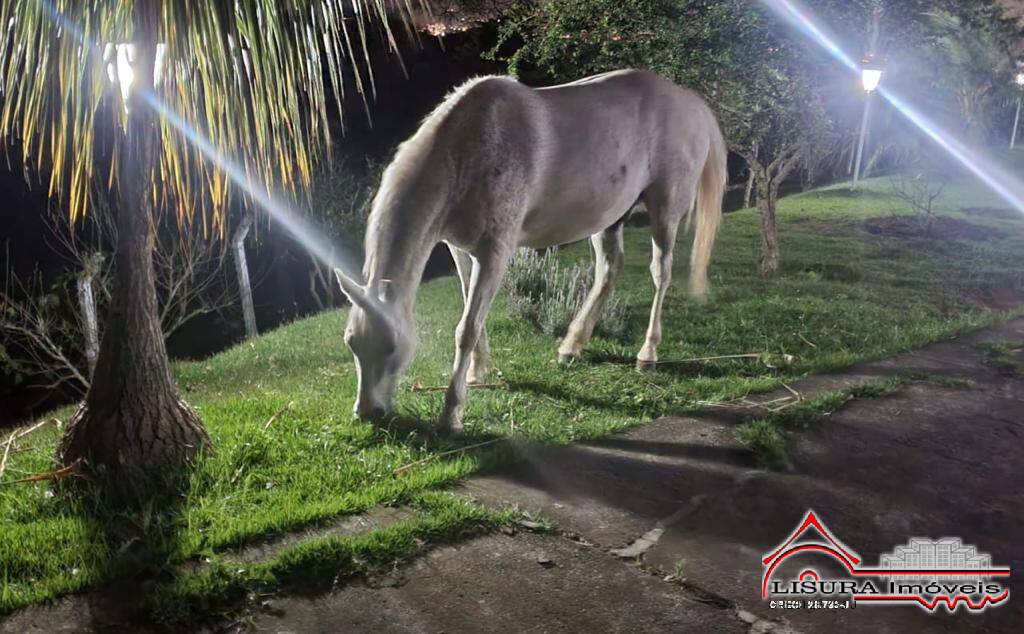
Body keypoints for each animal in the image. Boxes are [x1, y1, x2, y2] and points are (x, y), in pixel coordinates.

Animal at [331, 70, 724, 436]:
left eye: (391, 347)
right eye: (351, 343)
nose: (367, 412)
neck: (468, 150)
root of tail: (689, 100)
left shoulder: (494, 253)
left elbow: (467, 328)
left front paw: (451, 415)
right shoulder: (460, 249)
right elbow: (470, 311)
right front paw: (477, 373)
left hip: (665, 211)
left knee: (661, 274)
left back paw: (647, 354)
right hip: (610, 218)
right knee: (609, 271)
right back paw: (571, 346)